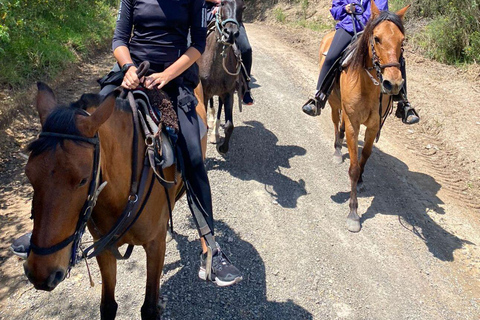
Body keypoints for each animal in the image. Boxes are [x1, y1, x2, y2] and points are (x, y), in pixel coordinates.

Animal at [23, 81, 206, 318]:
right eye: (29, 174)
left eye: (83, 180)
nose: (40, 272)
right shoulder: (104, 248)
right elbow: (108, 305)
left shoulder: (155, 246)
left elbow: (149, 308)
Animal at [198, 0, 246, 154]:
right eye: (223, 3)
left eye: (243, 7)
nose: (230, 33)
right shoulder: (204, 93)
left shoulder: (228, 93)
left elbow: (230, 125)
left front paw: (223, 147)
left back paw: (215, 133)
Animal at [320, 1, 410, 234]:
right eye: (376, 38)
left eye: (402, 41)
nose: (393, 84)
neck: (367, 84)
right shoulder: (354, 123)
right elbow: (353, 167)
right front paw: (353, 213)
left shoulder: (373, 125)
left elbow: (365, 157)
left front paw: (360, 180)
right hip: (333, 101)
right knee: (336, 123)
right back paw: (337, 149)